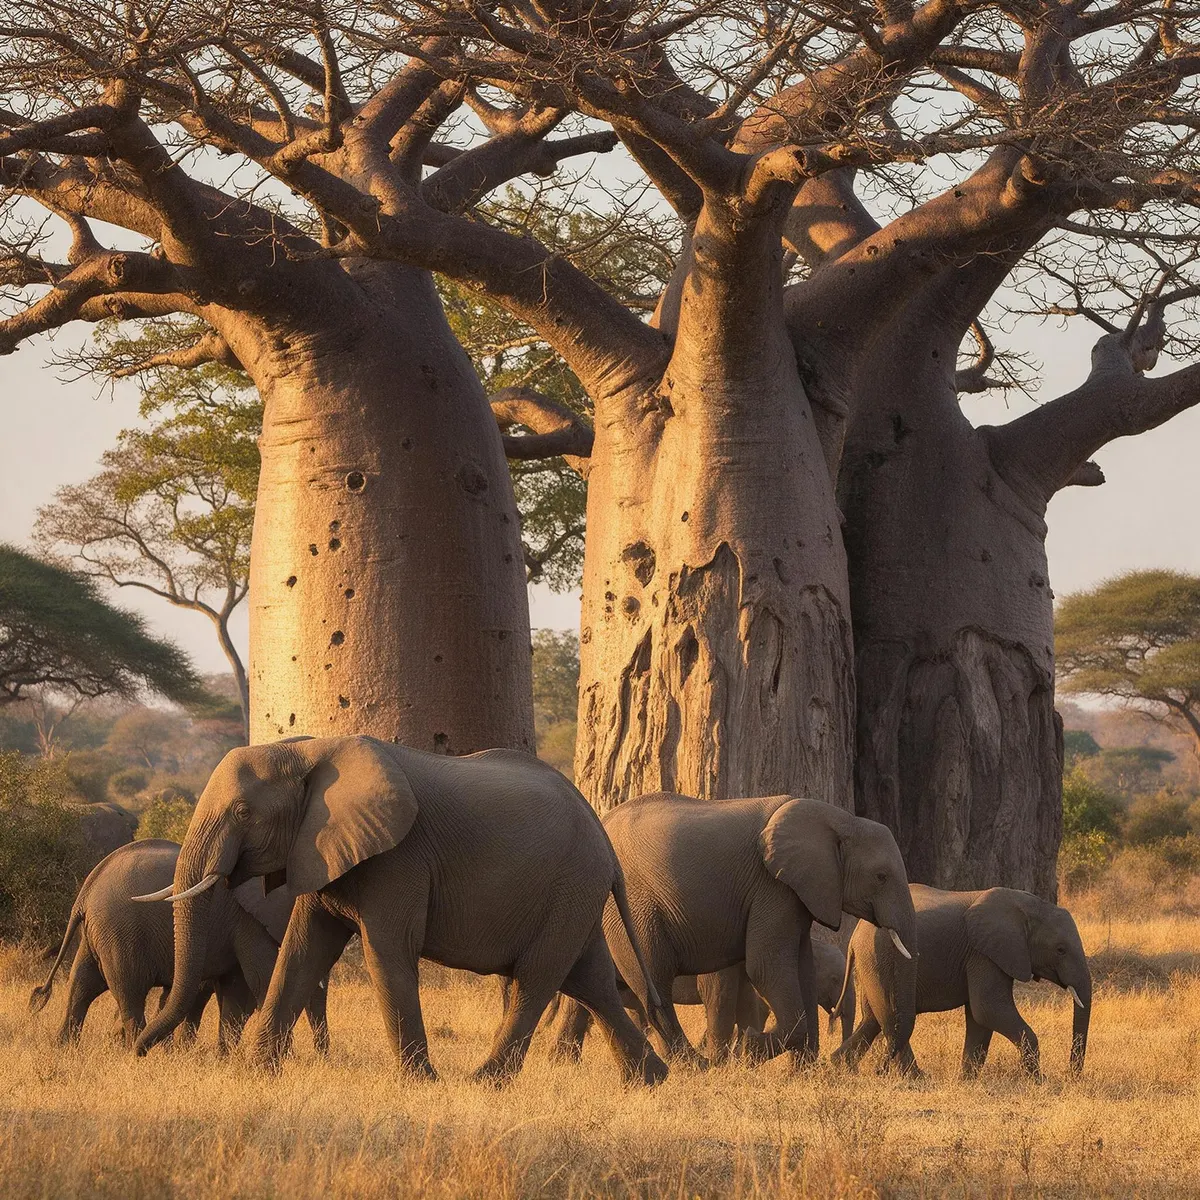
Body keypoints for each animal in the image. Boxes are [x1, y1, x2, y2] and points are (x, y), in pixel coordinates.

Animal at [29, 839, 328, 1051]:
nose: (322, 1055)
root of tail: (86, 891)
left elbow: (236, 990)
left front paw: (225, 1057)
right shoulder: (248, 917)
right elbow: (262, 977)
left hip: (98, 934)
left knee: (81, 984)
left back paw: (65, 1049)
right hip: (119, 934)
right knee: (129, 992)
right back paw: (135, 1050)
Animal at [133, 736, 670, 1086]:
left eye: (244, 813)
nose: (137, 1054)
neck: (308, 749)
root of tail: (605, 838)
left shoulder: (399, 857)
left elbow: (387, 952)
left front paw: (419, 1083)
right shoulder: (320, 847)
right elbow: (302, 953)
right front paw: (257, 1072)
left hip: (571, 885)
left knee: (537, 979)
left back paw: (481, 1082)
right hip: (576, 894)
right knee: (589, 979)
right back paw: (651, 1082)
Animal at [554, 792, 915, 1065]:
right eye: (881, 876)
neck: (840, 819)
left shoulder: (795, 893)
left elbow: (802, 969)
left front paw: (802, 1073)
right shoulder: (772, 888)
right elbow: (765, 968)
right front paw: (749, 1050)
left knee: (592, 987)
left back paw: (563, 1062)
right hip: (632, 907)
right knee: (652, 984)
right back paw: (693, 1066)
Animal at [835, 884, 1091, 1078]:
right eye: (1060, 950)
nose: (1071, 1076)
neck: (1030, 905)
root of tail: (854, 937)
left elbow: (980, 1019)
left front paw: (967, 1080)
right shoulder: (984, 954)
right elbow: (988, 1009)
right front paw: (1038, 1081)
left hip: (872, 964)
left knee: (872, 1020)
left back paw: (838, 1066)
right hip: (881, 958)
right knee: (890, 1017)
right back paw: (914, 1078)